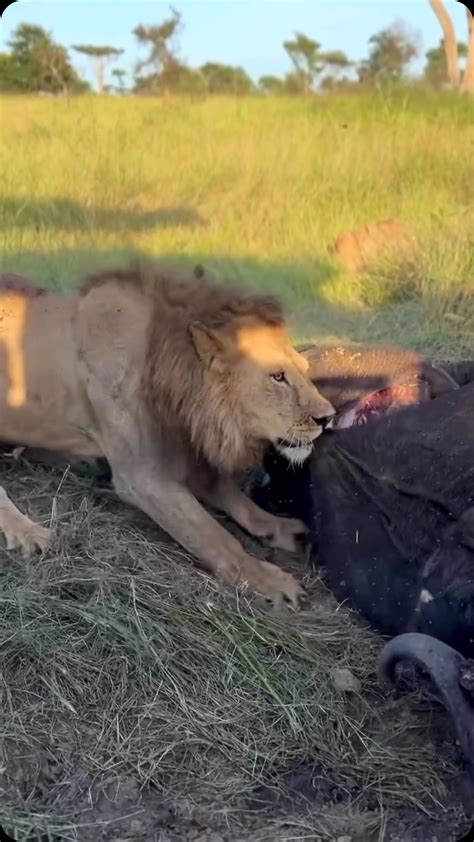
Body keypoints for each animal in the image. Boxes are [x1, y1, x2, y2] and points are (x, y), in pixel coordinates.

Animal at [0, 265, 335, 607]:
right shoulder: (144, 477)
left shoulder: (185, 449)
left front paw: (280, 528)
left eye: (304, 369)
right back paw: (28, 532)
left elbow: (234, 498)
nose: (328, 418)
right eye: (278, 377)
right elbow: (213, 535)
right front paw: (269, 579)